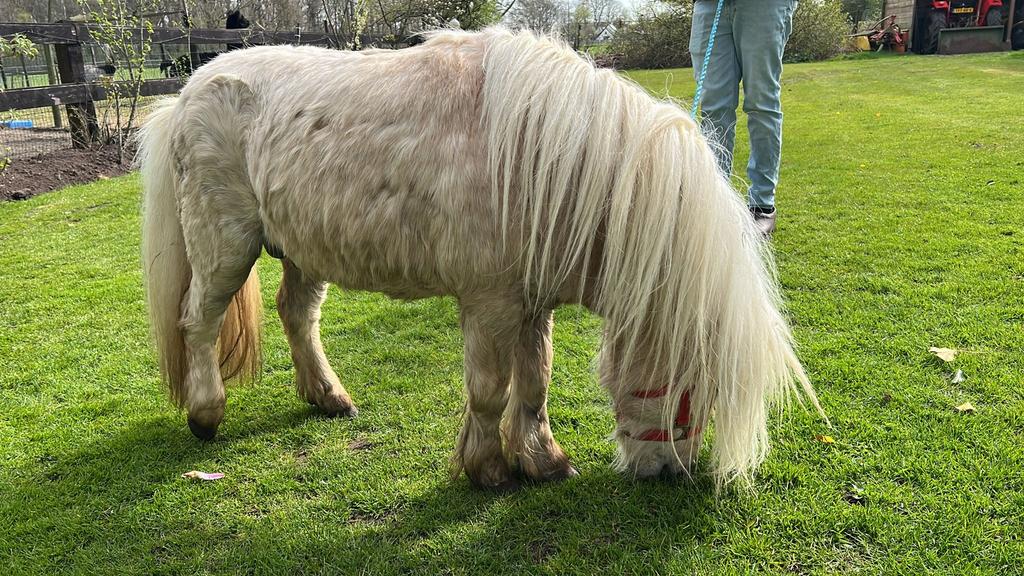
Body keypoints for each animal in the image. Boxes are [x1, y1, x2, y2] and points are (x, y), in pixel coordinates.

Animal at [138, 27, 820, 490]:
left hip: (303, 247)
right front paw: (488, 468)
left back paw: (326, 395)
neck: (541, 156)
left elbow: (536, 381)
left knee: (296, 314)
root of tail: (187, 92)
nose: (668, 471)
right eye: (693, 383)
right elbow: (491, 389)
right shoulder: (490, 302)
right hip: (226, 245)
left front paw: (541, 460)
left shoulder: (533, 302)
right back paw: (206, 412)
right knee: (198, 321)